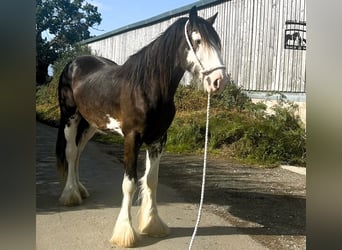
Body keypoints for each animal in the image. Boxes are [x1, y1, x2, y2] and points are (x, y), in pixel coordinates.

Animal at [56, 6, 227, 248]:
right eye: (197, 40)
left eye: (217, 42)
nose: (218, 81)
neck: (147, 87)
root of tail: (73, 63)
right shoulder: (132, 138)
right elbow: (129, 184)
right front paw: (125, 234)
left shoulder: (158, 139)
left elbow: (151, 181)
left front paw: (153, 225)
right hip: (70, 117)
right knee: (71, 152)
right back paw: (71, 195)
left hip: (91, 124)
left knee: (79, 152)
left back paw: (80, 189)